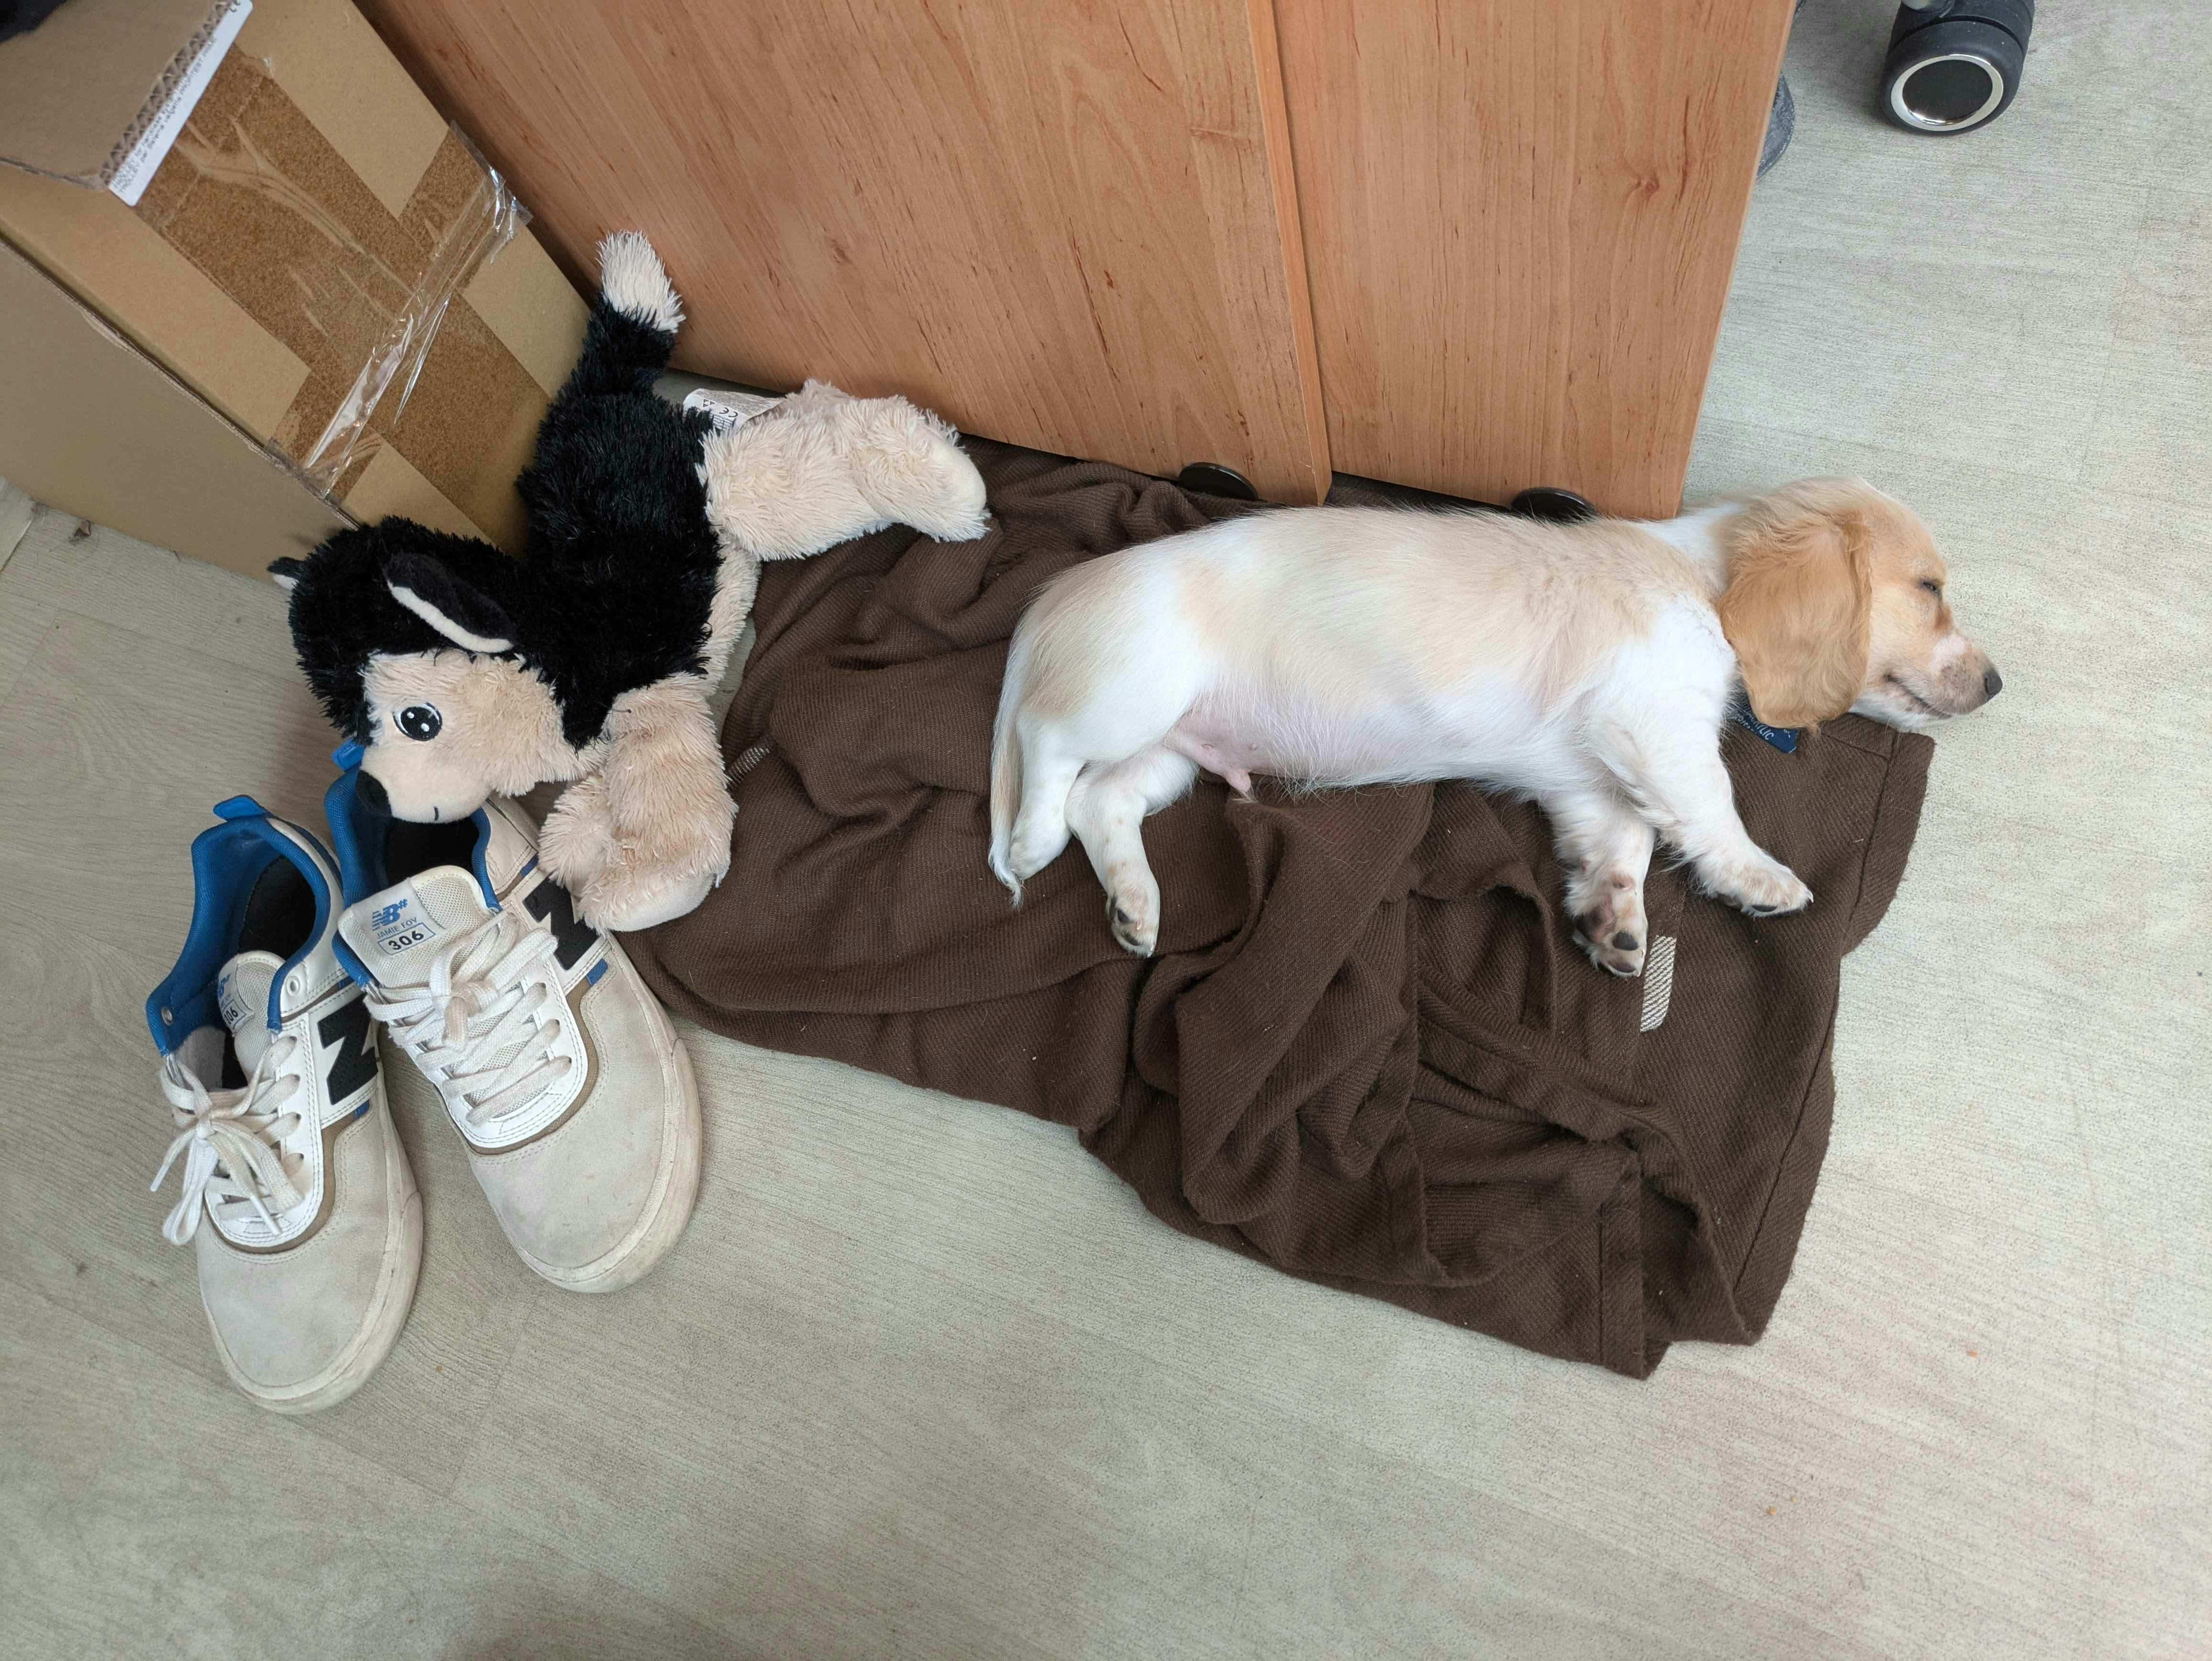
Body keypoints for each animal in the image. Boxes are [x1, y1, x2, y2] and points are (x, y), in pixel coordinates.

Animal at [986, 479, 1999, 975]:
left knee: (1100, 803)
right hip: (1132, 693)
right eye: (1928, 589)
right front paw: (1760, 880)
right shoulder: (1654, 727)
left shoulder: (1588, 778)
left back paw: (1134, 906)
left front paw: (1615, 922)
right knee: (1045, 749)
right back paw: (1030, 842)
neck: (1702, 580)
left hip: (1171, 753)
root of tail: (1059, 594)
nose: (1994, 684)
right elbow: (1708, 808)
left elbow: (1624, 843)